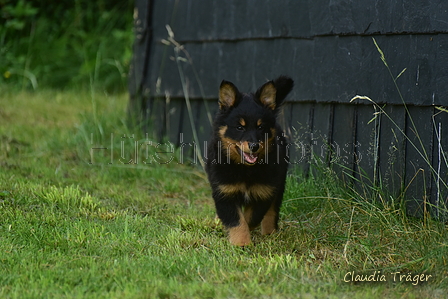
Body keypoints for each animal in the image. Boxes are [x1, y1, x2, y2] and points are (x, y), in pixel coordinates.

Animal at [206, 75, 294, 246]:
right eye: (240, 127)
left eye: (260, 127)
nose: (254, 146)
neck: (245, 169)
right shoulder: (224, 192)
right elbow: (236, 220)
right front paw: (241, 243)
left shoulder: (264, 192)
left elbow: (251, 219)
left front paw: (243, 240)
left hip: (278, 184)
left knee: (272, 211)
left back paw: (270, 233)